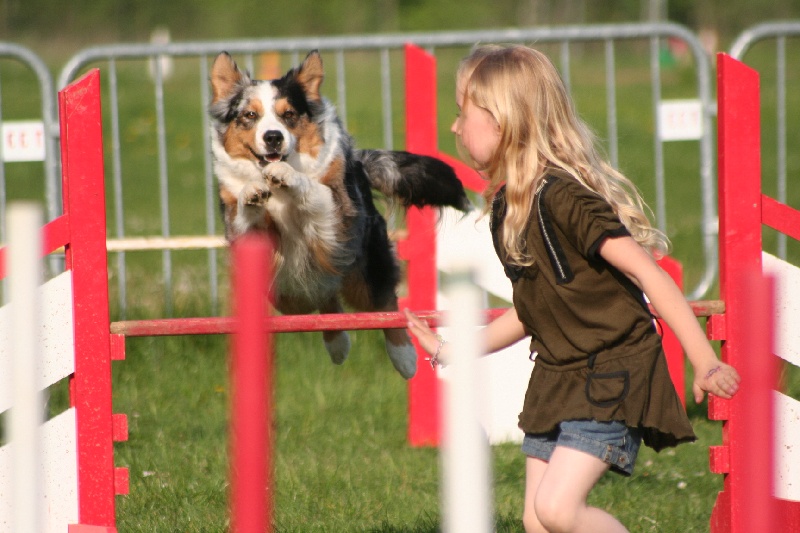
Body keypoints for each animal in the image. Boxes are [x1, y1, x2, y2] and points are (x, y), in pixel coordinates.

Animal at [208, 50, 471, 379]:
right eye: (249, 115)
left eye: (288, 115)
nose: (273, 137)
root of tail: (360, 162)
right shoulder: (247, 237)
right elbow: (246, 210)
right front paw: (252, 192)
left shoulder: (336, 213)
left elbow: (313, 188)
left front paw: (288, 175)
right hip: (286, 293)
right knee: (322, 293)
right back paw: (338, 344)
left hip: (363, 268)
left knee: (385, 303)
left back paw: (405, 357)